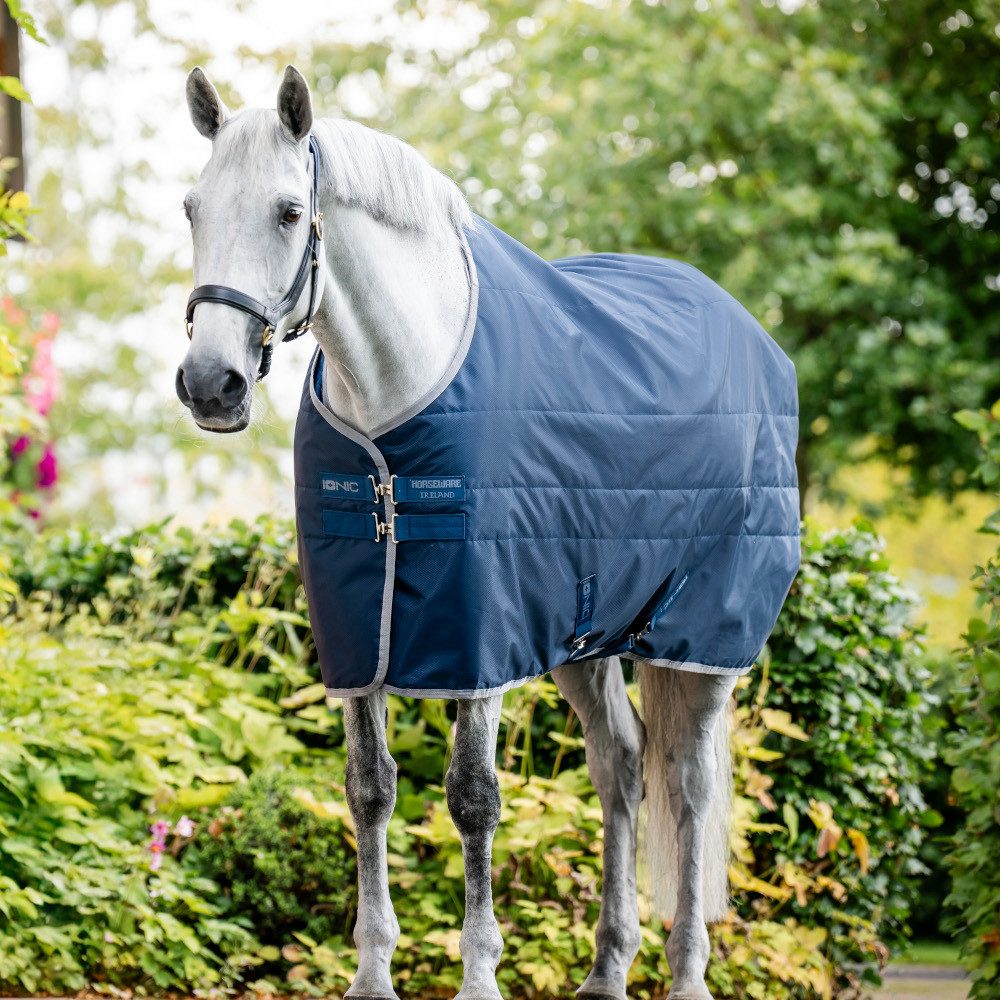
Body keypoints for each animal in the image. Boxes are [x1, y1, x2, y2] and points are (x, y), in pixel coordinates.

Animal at [175, 65, 799, 1000]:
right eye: (192, 209)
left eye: (289, 211)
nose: (210, 383)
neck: (395, 399)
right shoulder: (360, 635)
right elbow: (369, 788)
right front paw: (372, 975)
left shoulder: (479, 639)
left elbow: (473, 799)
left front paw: (478, 976)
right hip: (584, 635)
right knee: (620, 765)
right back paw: (606, 969)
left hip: (701, 635)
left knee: (687, 785)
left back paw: (686, 973)